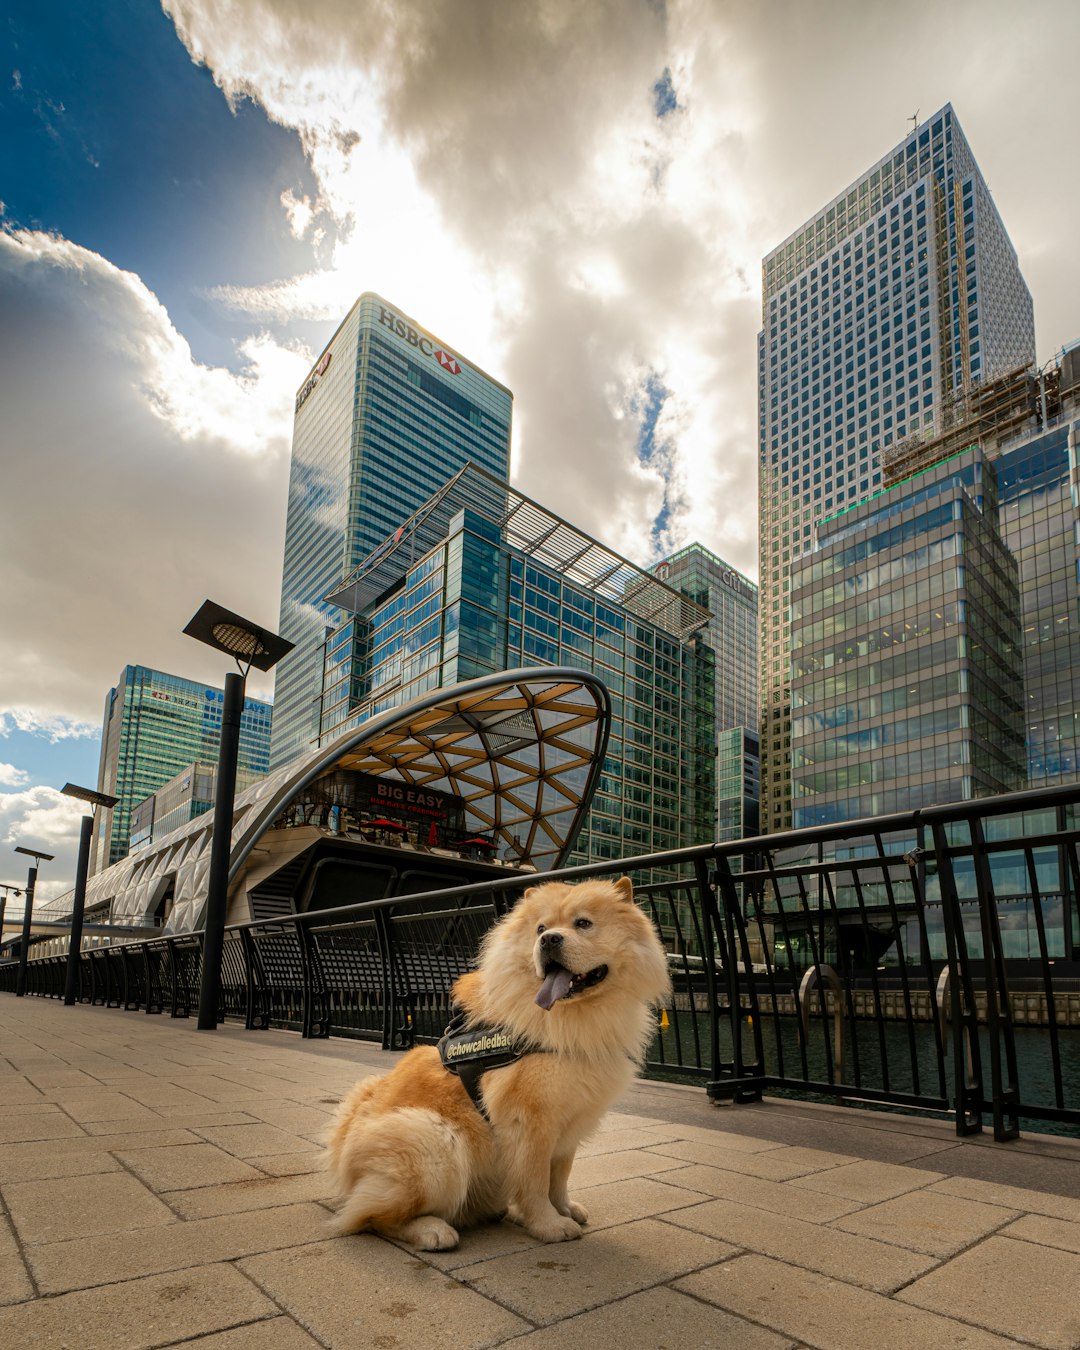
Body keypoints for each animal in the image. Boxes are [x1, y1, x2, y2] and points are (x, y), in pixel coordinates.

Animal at [325, 880, 669, 1247]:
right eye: (541, 929)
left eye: (583, 924)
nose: (549, 940)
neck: (570, 1019)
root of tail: (343, 1158)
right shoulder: (530, 1121)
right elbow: (535, 1181)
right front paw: (549, 1225)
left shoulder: (570, 1119)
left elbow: (560, 1174)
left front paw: (565, 1209)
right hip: (434, 1139)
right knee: (371, 1217)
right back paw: (433, 1230)